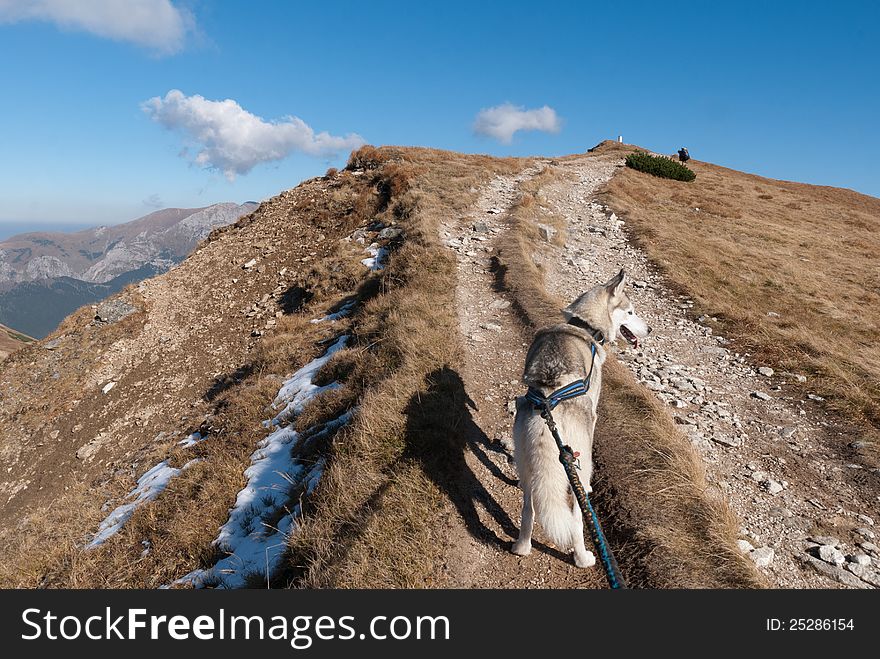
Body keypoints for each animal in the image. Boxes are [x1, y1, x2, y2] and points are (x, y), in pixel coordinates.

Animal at [512, 270, 648, 568]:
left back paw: (522, 546)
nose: (650, 330)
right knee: (576, 517)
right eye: (630, 312)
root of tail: (548, 403)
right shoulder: (594, 414)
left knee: (528, 507)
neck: (584, 327)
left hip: (526, 459)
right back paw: (583, 556)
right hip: (579, 461)